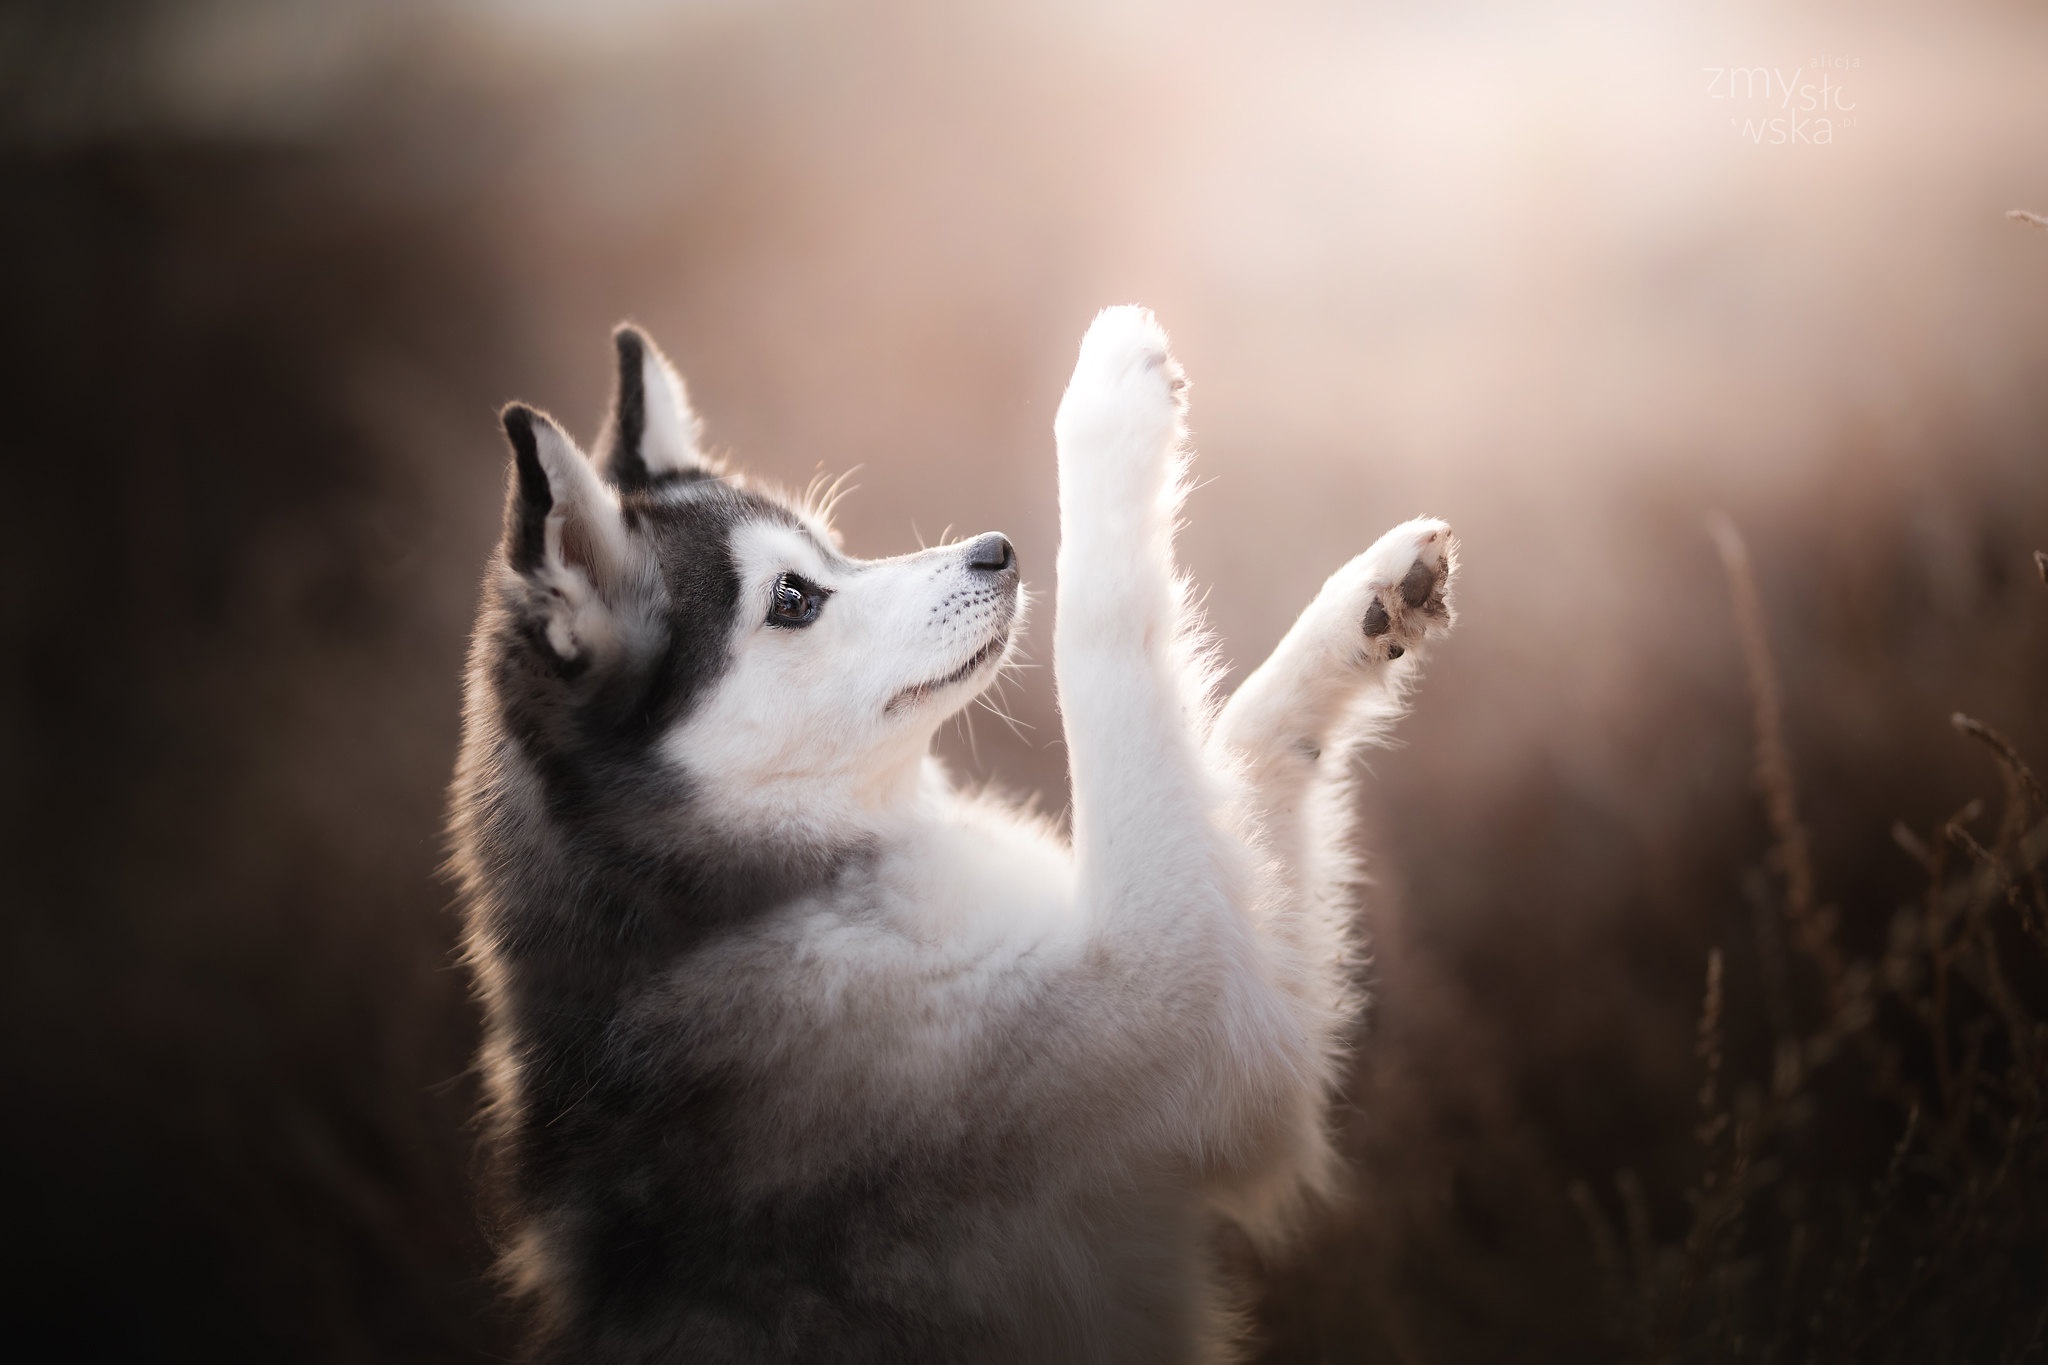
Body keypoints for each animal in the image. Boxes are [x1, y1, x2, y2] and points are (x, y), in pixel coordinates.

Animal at [448, 309, 1458, 1365]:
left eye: (832, 550)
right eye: (793, 599)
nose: (996, 551)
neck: (720, 908)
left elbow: (1245, 746)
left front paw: (1366, 607)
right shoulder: (1185, 1023)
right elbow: (1105, 638)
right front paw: (1108, 397)